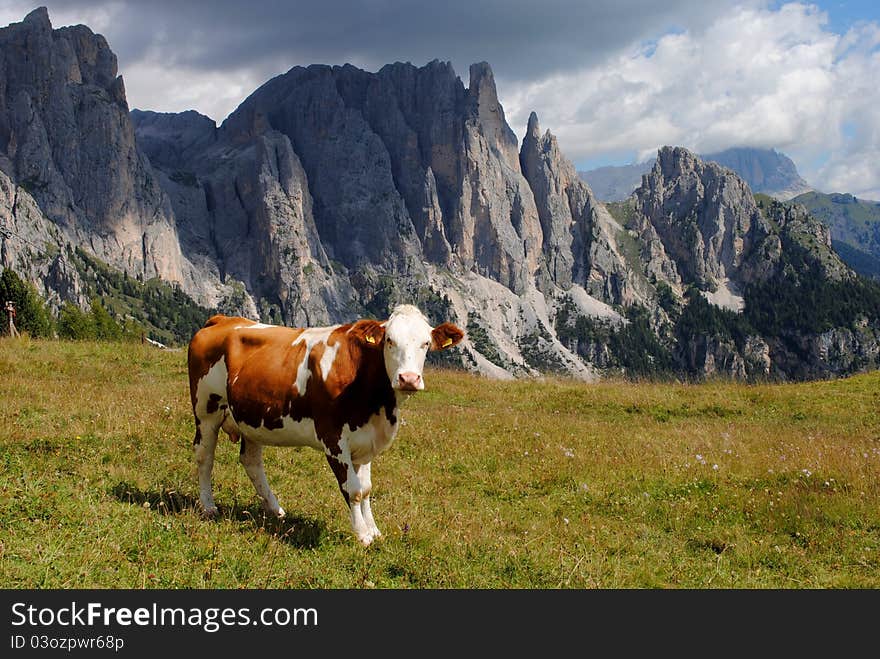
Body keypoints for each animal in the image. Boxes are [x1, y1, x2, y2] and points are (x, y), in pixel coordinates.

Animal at [188, 304, 464, 548]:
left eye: (425, 343)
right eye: (389, 341)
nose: (408, 379)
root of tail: (222, 320)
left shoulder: (366, 441)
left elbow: (366, 489)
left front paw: (374, 530)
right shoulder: (334, 439)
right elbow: (352, 490)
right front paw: (363, 535)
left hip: (252, 418)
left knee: (251, 461)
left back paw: (275, 508)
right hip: (206, 410)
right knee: (204, 456)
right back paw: (209, 506)